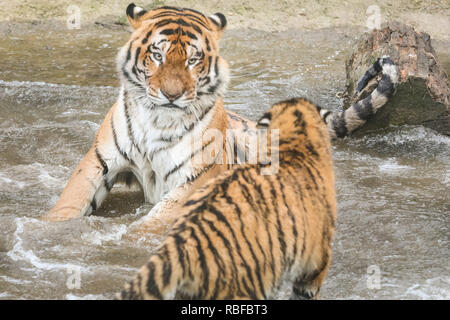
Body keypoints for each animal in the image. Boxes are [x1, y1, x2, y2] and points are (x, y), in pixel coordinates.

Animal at [44, 3, 398, 228]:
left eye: (192, 60)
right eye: (157, 55)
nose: (171, 94)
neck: (158, 118)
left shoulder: (194, 179)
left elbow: (152, 223)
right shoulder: (98, 160)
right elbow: (69, 201)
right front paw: (50, 228)